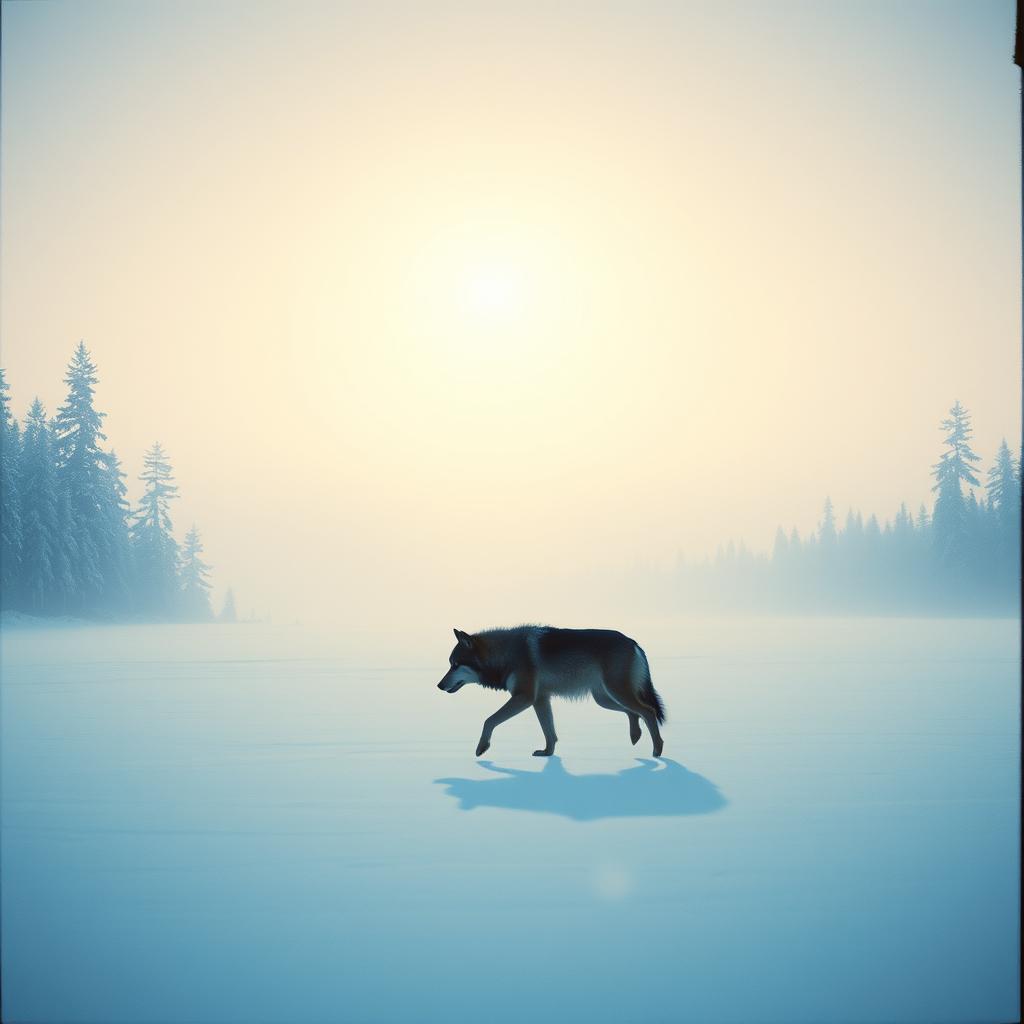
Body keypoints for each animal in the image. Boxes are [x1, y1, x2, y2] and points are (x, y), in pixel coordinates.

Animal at [436, 626, 666, 758]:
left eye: (455, 665)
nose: (439, 685)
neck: (505, 654)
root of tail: (633, 641)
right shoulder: (540, 699)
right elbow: (549, 732)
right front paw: (548, 753)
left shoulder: (525, 697)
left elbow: (489, 720)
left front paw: (482, 747)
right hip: (604, 698)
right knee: (634, 712)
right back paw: (635, 736)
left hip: (615, 693)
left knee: (648, 711)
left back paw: (657, 751)